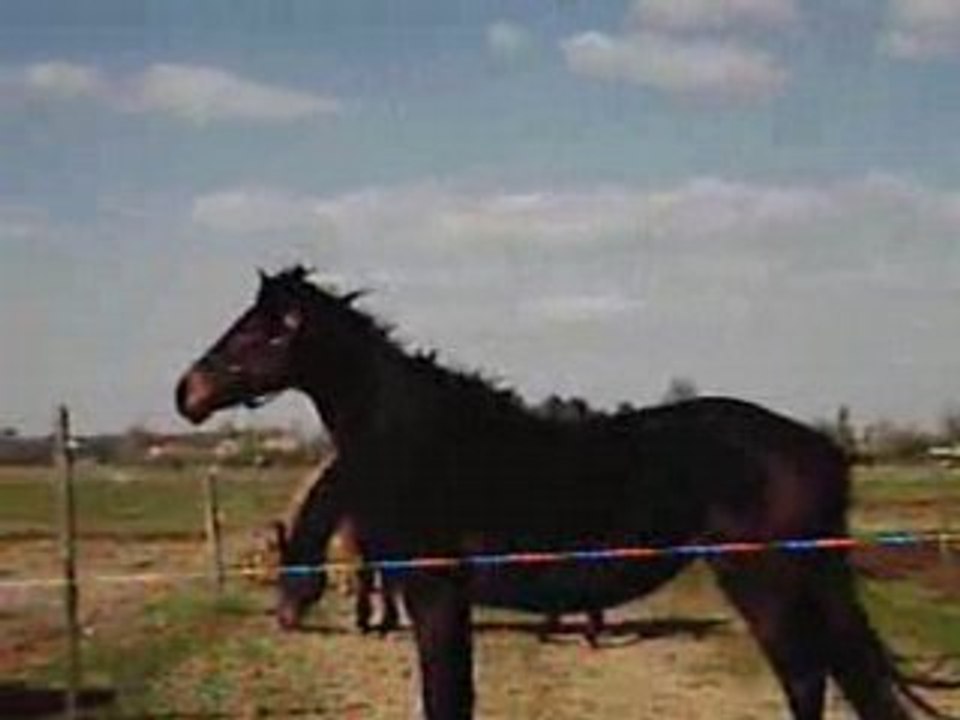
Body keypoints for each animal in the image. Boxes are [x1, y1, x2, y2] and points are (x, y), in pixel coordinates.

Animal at [176, 266, 954, 720]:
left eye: (255, 335)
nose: (188, 392)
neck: (428, 440)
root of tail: (819, 447)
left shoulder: (436, 593)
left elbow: (446, 698)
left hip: (764, 580)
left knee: (806, 680)